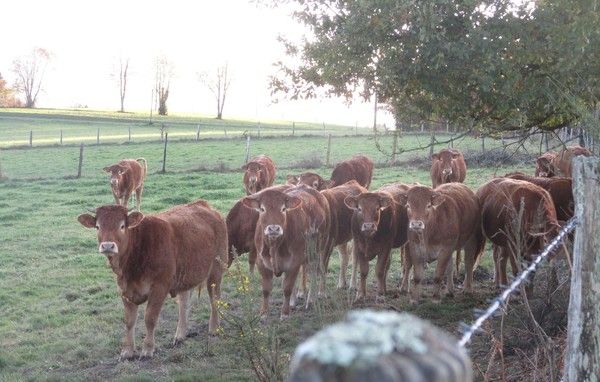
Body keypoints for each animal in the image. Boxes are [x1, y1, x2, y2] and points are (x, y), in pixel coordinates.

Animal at [75, 201, 225, 360]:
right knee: (184, 303)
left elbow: (150, 318)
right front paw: (127, 351)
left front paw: (147, 349)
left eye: (122, 226)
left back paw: (214, 329)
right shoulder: (124, 290)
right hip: (186, 276)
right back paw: (180, 335)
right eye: (98, 226)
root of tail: (204, 205)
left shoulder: (159, 287)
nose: (107, 246)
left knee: (214, 298)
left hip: (216, 270)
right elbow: (129, 321)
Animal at [241, 185, 330, 320]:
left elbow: (287, 288)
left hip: (317, 247)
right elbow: (266, 289)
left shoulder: (294, 261)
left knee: (314, 269)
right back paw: (293, 302)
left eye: (283, 209)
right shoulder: (261, 262)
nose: (273, 228)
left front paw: (285, 313)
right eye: (262, 209)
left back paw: (310, 300)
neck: (274, 246)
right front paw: (264, 313)